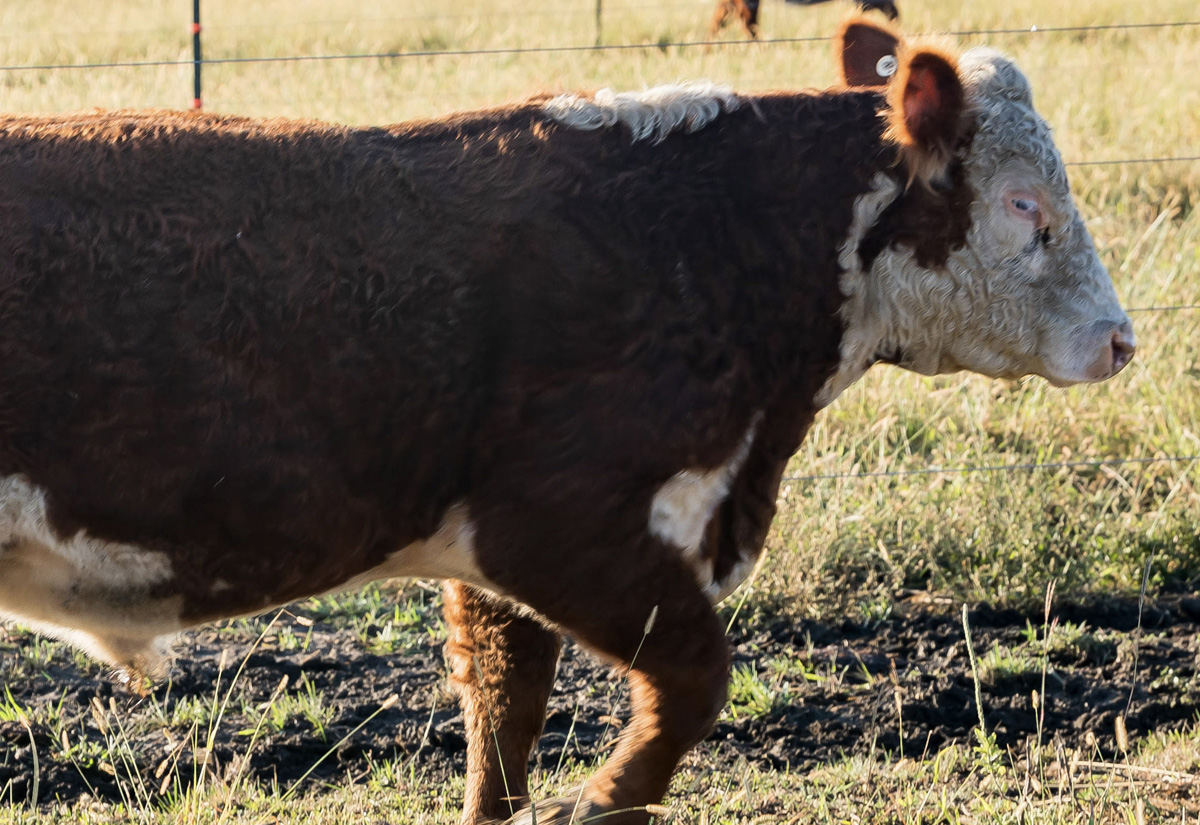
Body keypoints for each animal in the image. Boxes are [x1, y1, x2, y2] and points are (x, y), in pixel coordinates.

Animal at [0, 16, 1133, 825]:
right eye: (1025, 203)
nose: (1121, 340)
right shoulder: (557, 526)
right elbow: (694, 678)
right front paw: (596, 803)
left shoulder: (496, 569)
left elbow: (503, 724)